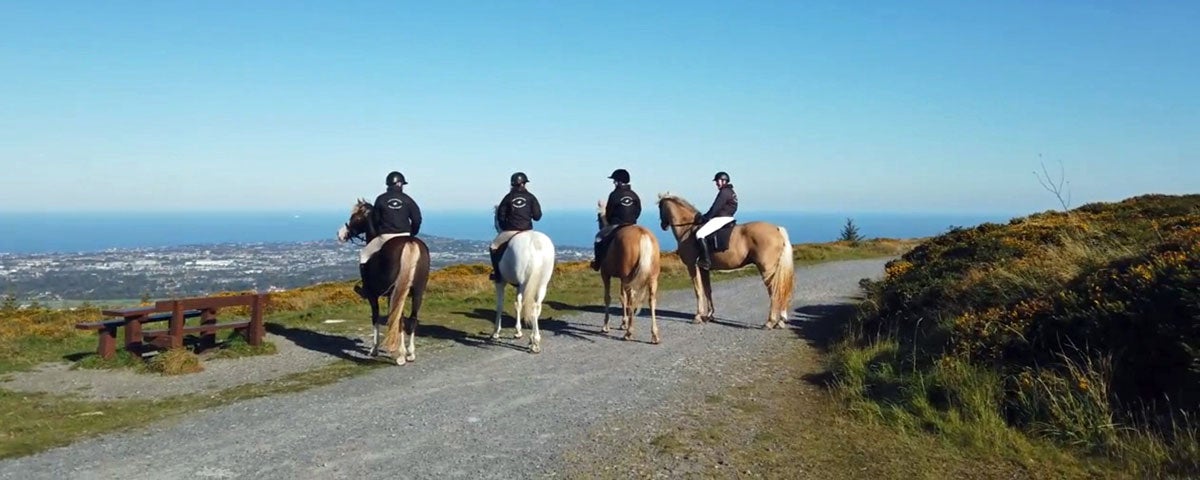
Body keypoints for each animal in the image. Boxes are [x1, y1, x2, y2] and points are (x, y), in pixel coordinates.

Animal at [336, 199, 431, 365]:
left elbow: (376, 318)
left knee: (399, 319)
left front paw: (374, 349)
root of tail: (410, 243)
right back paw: (410, 353)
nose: (340, 234)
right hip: (417, 291)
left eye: (355, 217)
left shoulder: (373, 295)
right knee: (411, 319)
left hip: (396, 291)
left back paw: (400, 355)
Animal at [490, 207, 556, 353]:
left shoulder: (501, 282)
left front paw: (497, 332)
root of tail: (535, 244)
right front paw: (519, 331)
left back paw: (533, 341)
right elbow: (518, 304)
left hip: (524, 283)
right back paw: (534, 340)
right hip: (541, 284)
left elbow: (501, 305)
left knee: (526, 304)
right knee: (536, 306)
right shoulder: (519, 286)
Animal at [595, 201, 661, 343]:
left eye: (598, 217)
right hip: (651, 279)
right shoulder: (622, 279)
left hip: (628, 279)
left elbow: (608, 298)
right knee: (651, 301)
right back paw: (654, 335)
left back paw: (629, 333)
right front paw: (623, 323)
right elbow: (622, 297)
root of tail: (643, 234)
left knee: (632, 301)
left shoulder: (606, 275)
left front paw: (606, 326)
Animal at [655, 193, 794, 328]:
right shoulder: (703, 268)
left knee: (774, 290)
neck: (688, 229)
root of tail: (776, 229)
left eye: (660, 207)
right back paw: (780, 321)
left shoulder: (692, 266)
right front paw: (709, 315)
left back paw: (770, 322)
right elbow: (707, 290)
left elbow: (698, 291)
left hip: (766, 269)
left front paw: (698, 316)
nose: (662, 225)